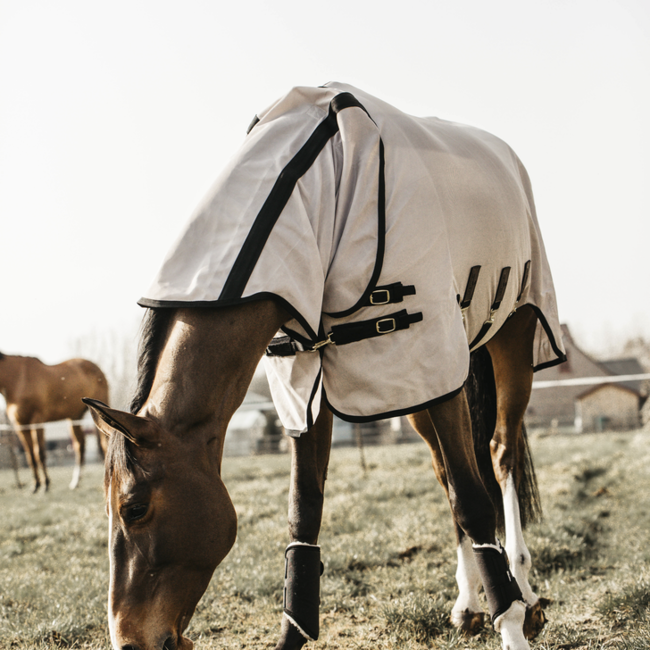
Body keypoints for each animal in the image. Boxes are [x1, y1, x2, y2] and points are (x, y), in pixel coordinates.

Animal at [0, 352, 109, 488]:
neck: (18, 379)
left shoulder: (37, 420)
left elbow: (39, 452)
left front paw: (46, 484)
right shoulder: (21, 425)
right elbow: (30, 454)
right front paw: (36, 484)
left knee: (104, 444)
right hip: (74, 417)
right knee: (80, 445)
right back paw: (75, 482)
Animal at [85, 85, 560, 648]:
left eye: (133, 508)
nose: (127, 638)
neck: (312, 194)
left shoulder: (433, 358)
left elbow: (473, 500)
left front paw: (510, 624)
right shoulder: (307, 387)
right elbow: (304, 514)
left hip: (507, 341)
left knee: (500, 455)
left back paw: (525, 593)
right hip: (419, 388)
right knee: (447, 472)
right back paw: (469, 603)